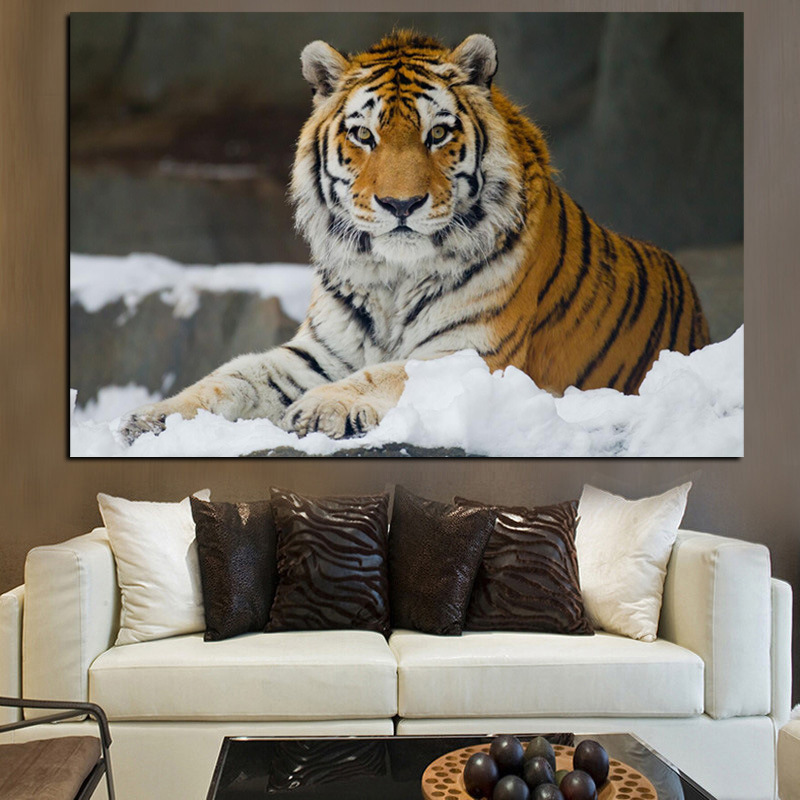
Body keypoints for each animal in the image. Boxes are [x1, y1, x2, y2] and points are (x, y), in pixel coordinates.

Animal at [120, 30, 710, 444]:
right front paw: (152, 418)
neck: (392, 277)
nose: (401, 205)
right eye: (363, 134)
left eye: (439, 133)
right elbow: (232, 376)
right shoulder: (316, 353)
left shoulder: (472, 354)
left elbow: (383, 373)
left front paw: (319, 408)